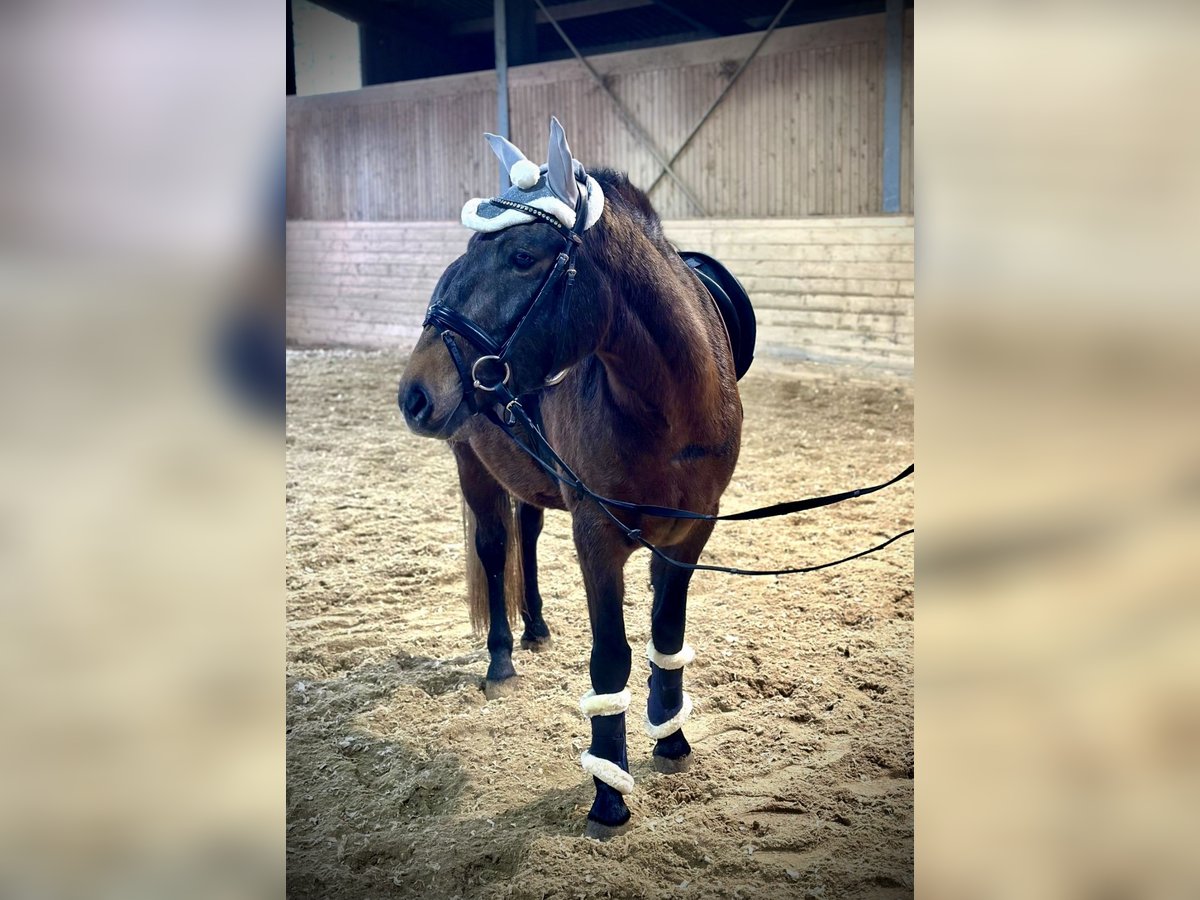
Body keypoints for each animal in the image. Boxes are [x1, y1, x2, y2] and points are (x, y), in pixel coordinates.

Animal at [398, 120, 739, 840]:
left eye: (524, 254)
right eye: (470, 249)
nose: (414, 393)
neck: (667, 410)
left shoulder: (690, 536)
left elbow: (668, 634)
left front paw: (671, 738)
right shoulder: (597, 540)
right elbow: (611, 657)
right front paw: (609, 794)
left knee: (525, 534)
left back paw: (537, 627)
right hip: (473, 465)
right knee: (495, 548)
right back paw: (503, 656)